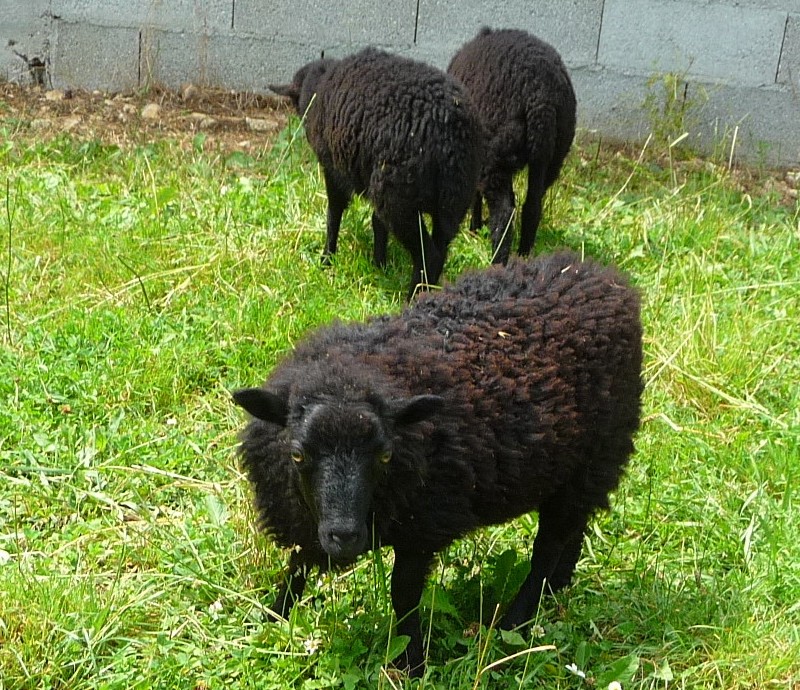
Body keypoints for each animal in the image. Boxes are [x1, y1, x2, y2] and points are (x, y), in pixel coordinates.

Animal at [233, 250, 644, 676]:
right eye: (298, 454)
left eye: (385, 455)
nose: (344, 536)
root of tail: (595, 272)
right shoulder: (304, 515)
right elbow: (297, 566)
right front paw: (271, 620)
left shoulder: (424, 524)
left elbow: (403, 593)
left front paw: (412, 660)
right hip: (578, 469)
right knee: (574, 528)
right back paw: (558, 587)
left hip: (599, 453)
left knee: (548, 547)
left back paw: (515, 622)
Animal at [272, 46, 482, 298]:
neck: (318, 87)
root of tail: (449, 131)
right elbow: (376, 222)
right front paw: (379, 264)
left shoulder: (334, 168)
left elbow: (334, 212)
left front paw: (326, 259)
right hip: (453, 200)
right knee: (440, 251)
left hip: (399, 197)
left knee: (428, 255)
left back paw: (411, 297)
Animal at [450, 27, 576, 264]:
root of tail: (540, 100)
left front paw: (474, 228)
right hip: (550, 157)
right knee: (532, 207)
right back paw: (524, 254)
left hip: (495, 154)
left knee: (504, 214)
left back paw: (498, 261)